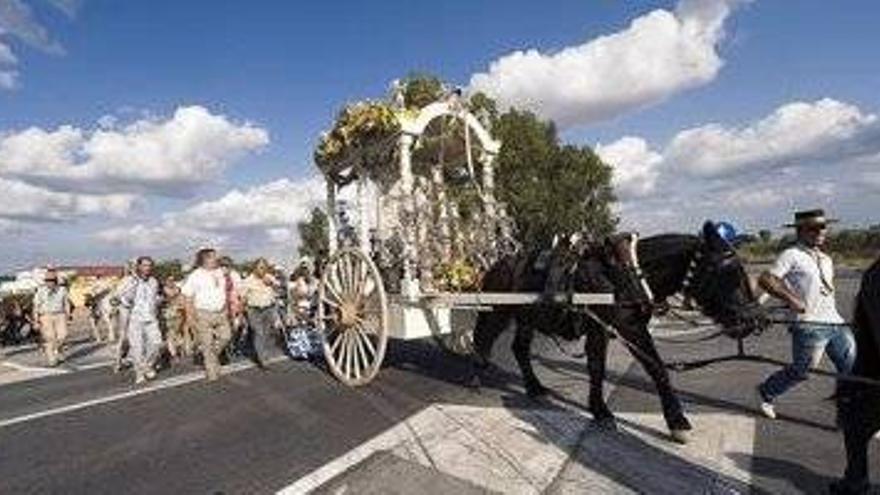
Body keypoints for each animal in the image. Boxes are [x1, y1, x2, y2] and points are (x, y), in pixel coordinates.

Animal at [470, 221, 768, 442]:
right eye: (729, 272)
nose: (754, 320)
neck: (627, 274)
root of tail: (495, 265)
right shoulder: (624, 328)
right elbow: (649, 367)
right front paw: (675, 421)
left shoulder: (610, 329)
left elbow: (605, 366)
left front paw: (601, 410)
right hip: (497, 313)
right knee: (482, 339)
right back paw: (478, 374)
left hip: (527, 319)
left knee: (519, 349)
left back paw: (533, 386)